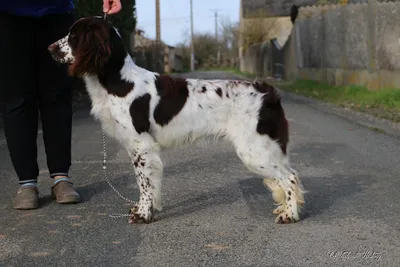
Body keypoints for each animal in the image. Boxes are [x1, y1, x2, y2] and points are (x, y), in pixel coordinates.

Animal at [47, 16, 306, 225]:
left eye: (73, 35)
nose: (49, 48)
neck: (118, 80)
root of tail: (267, 91)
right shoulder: (138, 146)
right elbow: (147, 183)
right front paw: (146, 210)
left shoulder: (141, 145)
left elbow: (144, 183)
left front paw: (143, 214)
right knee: (287, 174)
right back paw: (284, 208)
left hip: (253, 149)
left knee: (289, 177)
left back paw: (290, 215)